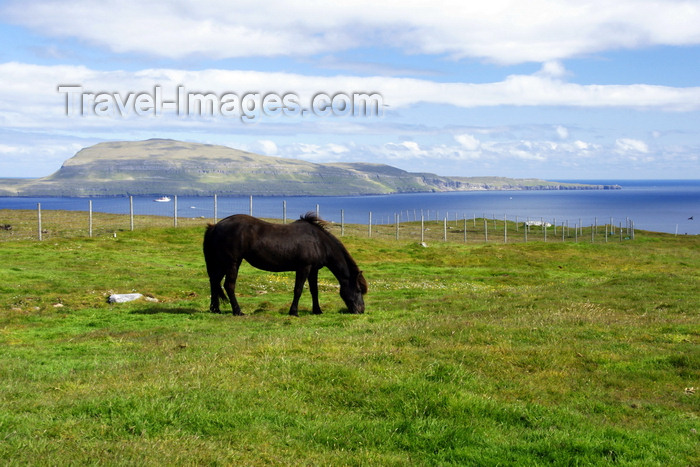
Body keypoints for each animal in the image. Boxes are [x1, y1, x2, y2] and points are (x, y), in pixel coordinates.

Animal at [202, 214, 366, 316]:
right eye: (358, 289)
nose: (361, 310)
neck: (319, 242)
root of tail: (216, 226)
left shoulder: (313, 270)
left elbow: (314, 291)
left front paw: (317, 310)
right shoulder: (304, 268)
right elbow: (298, 290)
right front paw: (294, 312)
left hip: (222, 263)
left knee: (214, 281)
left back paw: (215, 309)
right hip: (232, 262)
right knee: (228, 285)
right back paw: (238, 311)